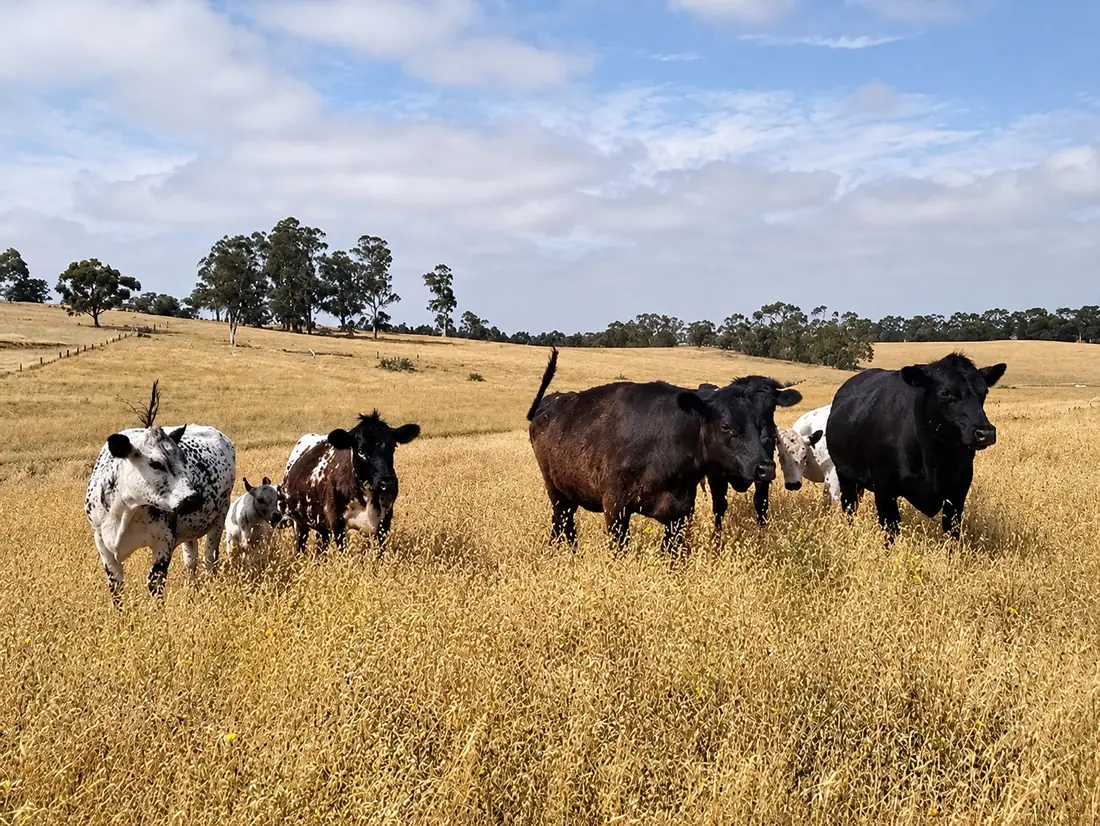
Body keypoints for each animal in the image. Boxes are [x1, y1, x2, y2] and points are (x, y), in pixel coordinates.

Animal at [84, 380, 236, 602]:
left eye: (183, 460)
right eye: (155, 463)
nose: (192, 499)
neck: (126, 509)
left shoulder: (164, 541)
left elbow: (155, 584)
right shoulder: (103, 546)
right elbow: (116, 589)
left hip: (219, 518)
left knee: (209, 559)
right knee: (191, 560)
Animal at [282, 411, 421, 555]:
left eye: (393, 447)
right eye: (361, 451)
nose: (387, 483)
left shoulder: (384, 522)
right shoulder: (336, 521)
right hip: (299, 522)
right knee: (301, 545)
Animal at [526, 348, 802, 556]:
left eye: (763, 420)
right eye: (726, 426)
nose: (765, 467)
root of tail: (550, 403)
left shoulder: (680, 513)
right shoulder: (615, 508)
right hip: (556, 491)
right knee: (563, 524)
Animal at [826, 352, 1006, 542]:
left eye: (984, 391)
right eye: (945, 392)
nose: (985, 432)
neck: (935, 458)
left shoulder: (958, 490)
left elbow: (952, 532)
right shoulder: (884, 488)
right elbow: (891, 530)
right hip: (845, 476)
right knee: (849, 507)